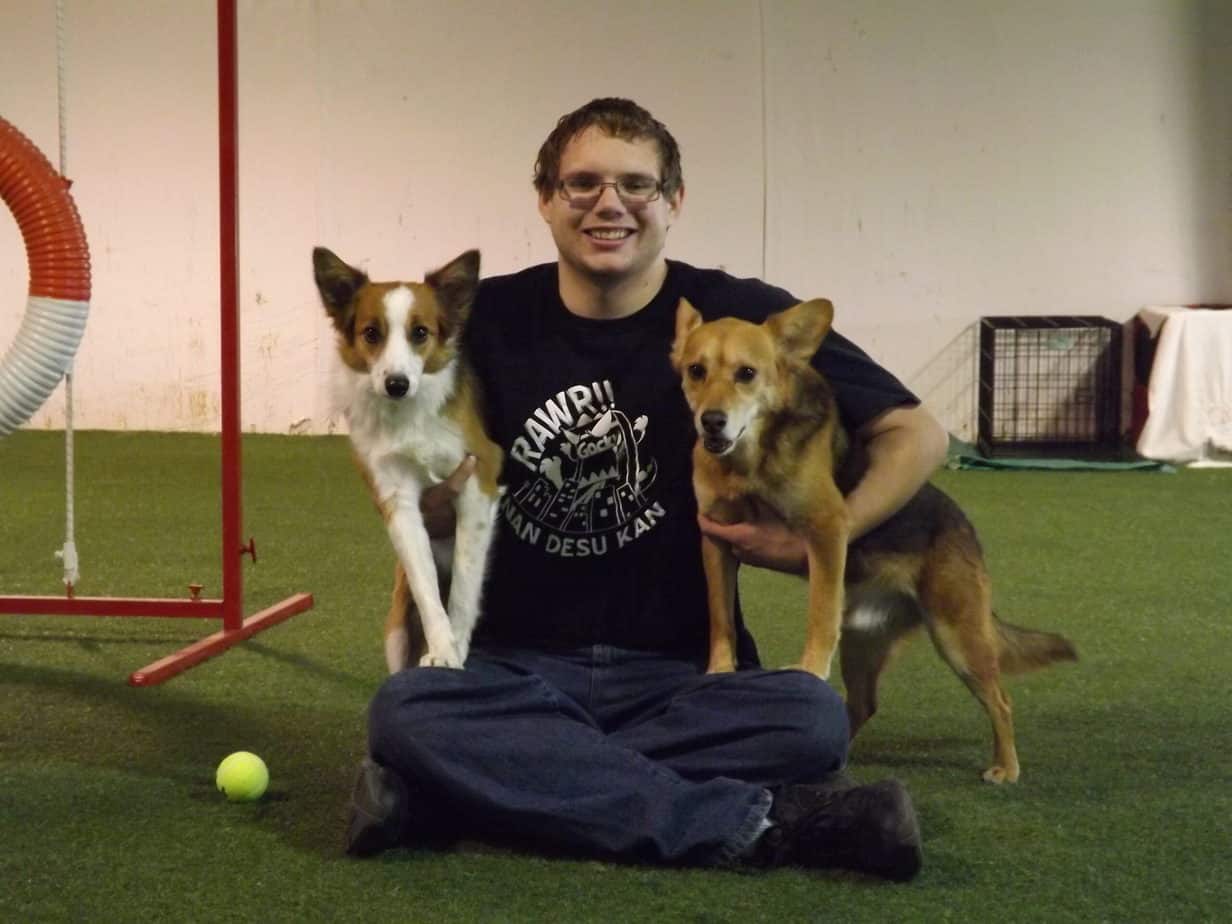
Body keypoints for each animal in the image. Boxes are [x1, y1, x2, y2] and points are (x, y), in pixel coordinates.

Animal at [315, 247, 502, 675]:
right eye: (371, 333)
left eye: (420, 333)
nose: (396, 384)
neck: (409, 414)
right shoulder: (396, 499)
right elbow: (427, 587)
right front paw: (443, 649)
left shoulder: (478, 477)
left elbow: (464, 585)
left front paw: (457, 649)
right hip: (396, 631)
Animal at [675, 298, 1079, 783]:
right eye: (696, 371)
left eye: (747, 373)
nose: (711, 422)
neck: (749, 460)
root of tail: (962, 525)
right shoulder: (715, 540)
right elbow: (721, 619)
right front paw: (720, 669)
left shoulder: (827, 530)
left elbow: (819, 614)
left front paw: (809, 669)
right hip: (863, 644)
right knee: (862, 705)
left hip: (958, 637)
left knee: (1000, 700)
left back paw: (1006, 767)